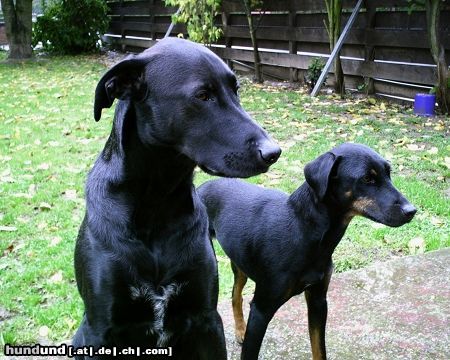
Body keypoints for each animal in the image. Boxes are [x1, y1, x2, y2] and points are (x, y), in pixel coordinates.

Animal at [72, 37, 280, 360]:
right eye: (203, 95)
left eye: (236, 90)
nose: (273, 152)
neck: (157, 203)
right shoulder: (100, 329)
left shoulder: (207, 320)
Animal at [199, 143, 416, 360]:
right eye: (366, 178)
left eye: (389, 173)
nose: (412, 211)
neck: (304, 229)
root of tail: (202, 187)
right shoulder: (261, 309)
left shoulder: (318, 300)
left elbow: (319, 349)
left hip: (239, 263)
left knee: (236, 294)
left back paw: (240, 330)